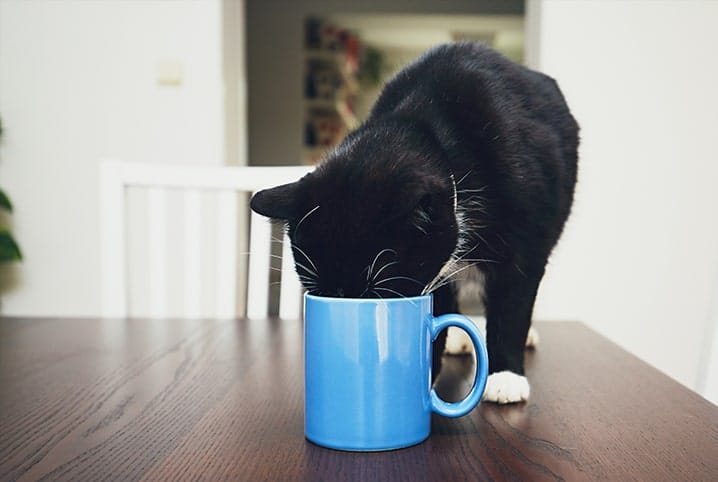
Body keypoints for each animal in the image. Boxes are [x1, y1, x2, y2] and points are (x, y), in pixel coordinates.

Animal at [252, 42, 580, 402]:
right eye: (319, 290)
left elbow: (513, 301)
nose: (345, 303)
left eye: (377, 292)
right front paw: (425, 376)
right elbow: (435, 310)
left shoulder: (525, 237)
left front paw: (506, 376)